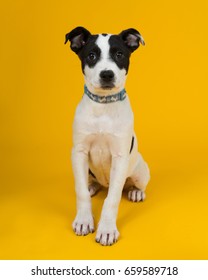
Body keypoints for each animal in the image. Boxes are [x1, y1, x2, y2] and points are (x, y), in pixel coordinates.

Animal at [65, 26, 150, 245]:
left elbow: (112, 199)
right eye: (91, 55)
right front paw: (84, 220)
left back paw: (135, 192)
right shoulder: (78, 153)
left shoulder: (120, 157)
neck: (103, 106)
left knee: (133, 184)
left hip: (140, 171)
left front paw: (107, 229)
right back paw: (92, 186)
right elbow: (80, 192)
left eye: (119, 54)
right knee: (88, 183)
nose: (107, 74)